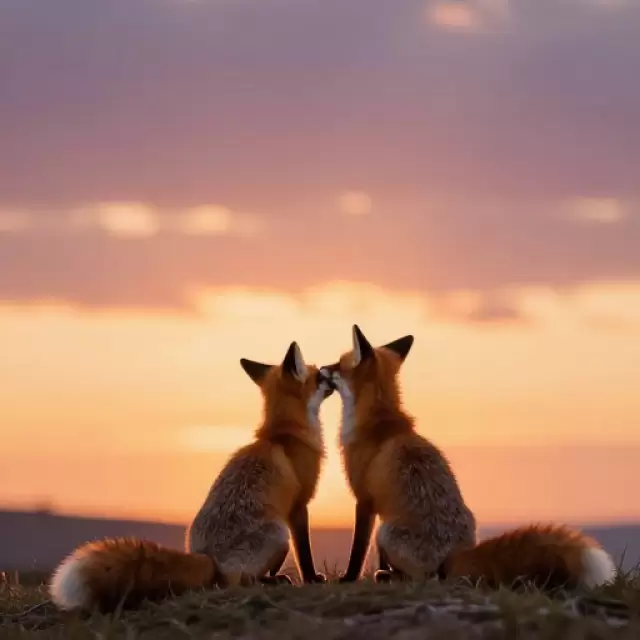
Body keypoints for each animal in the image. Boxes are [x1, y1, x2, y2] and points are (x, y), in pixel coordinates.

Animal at [49, 341, 332, 612]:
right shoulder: (298, 506)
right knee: (238, 582)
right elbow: (304, 553)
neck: (283, 436)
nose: (329, 372)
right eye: (318, 375)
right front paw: (312, 579)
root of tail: (209, 558)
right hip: (279, 533)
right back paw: (270, 581)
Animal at [319, 324, 617, 591]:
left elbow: (358, 550)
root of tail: (453, 555)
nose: (321, 368)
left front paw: (348, 578)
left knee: (424, 579)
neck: (379, 421)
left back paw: (390, 577)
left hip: (387, 531)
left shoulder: (364, 498)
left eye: (338, 364)